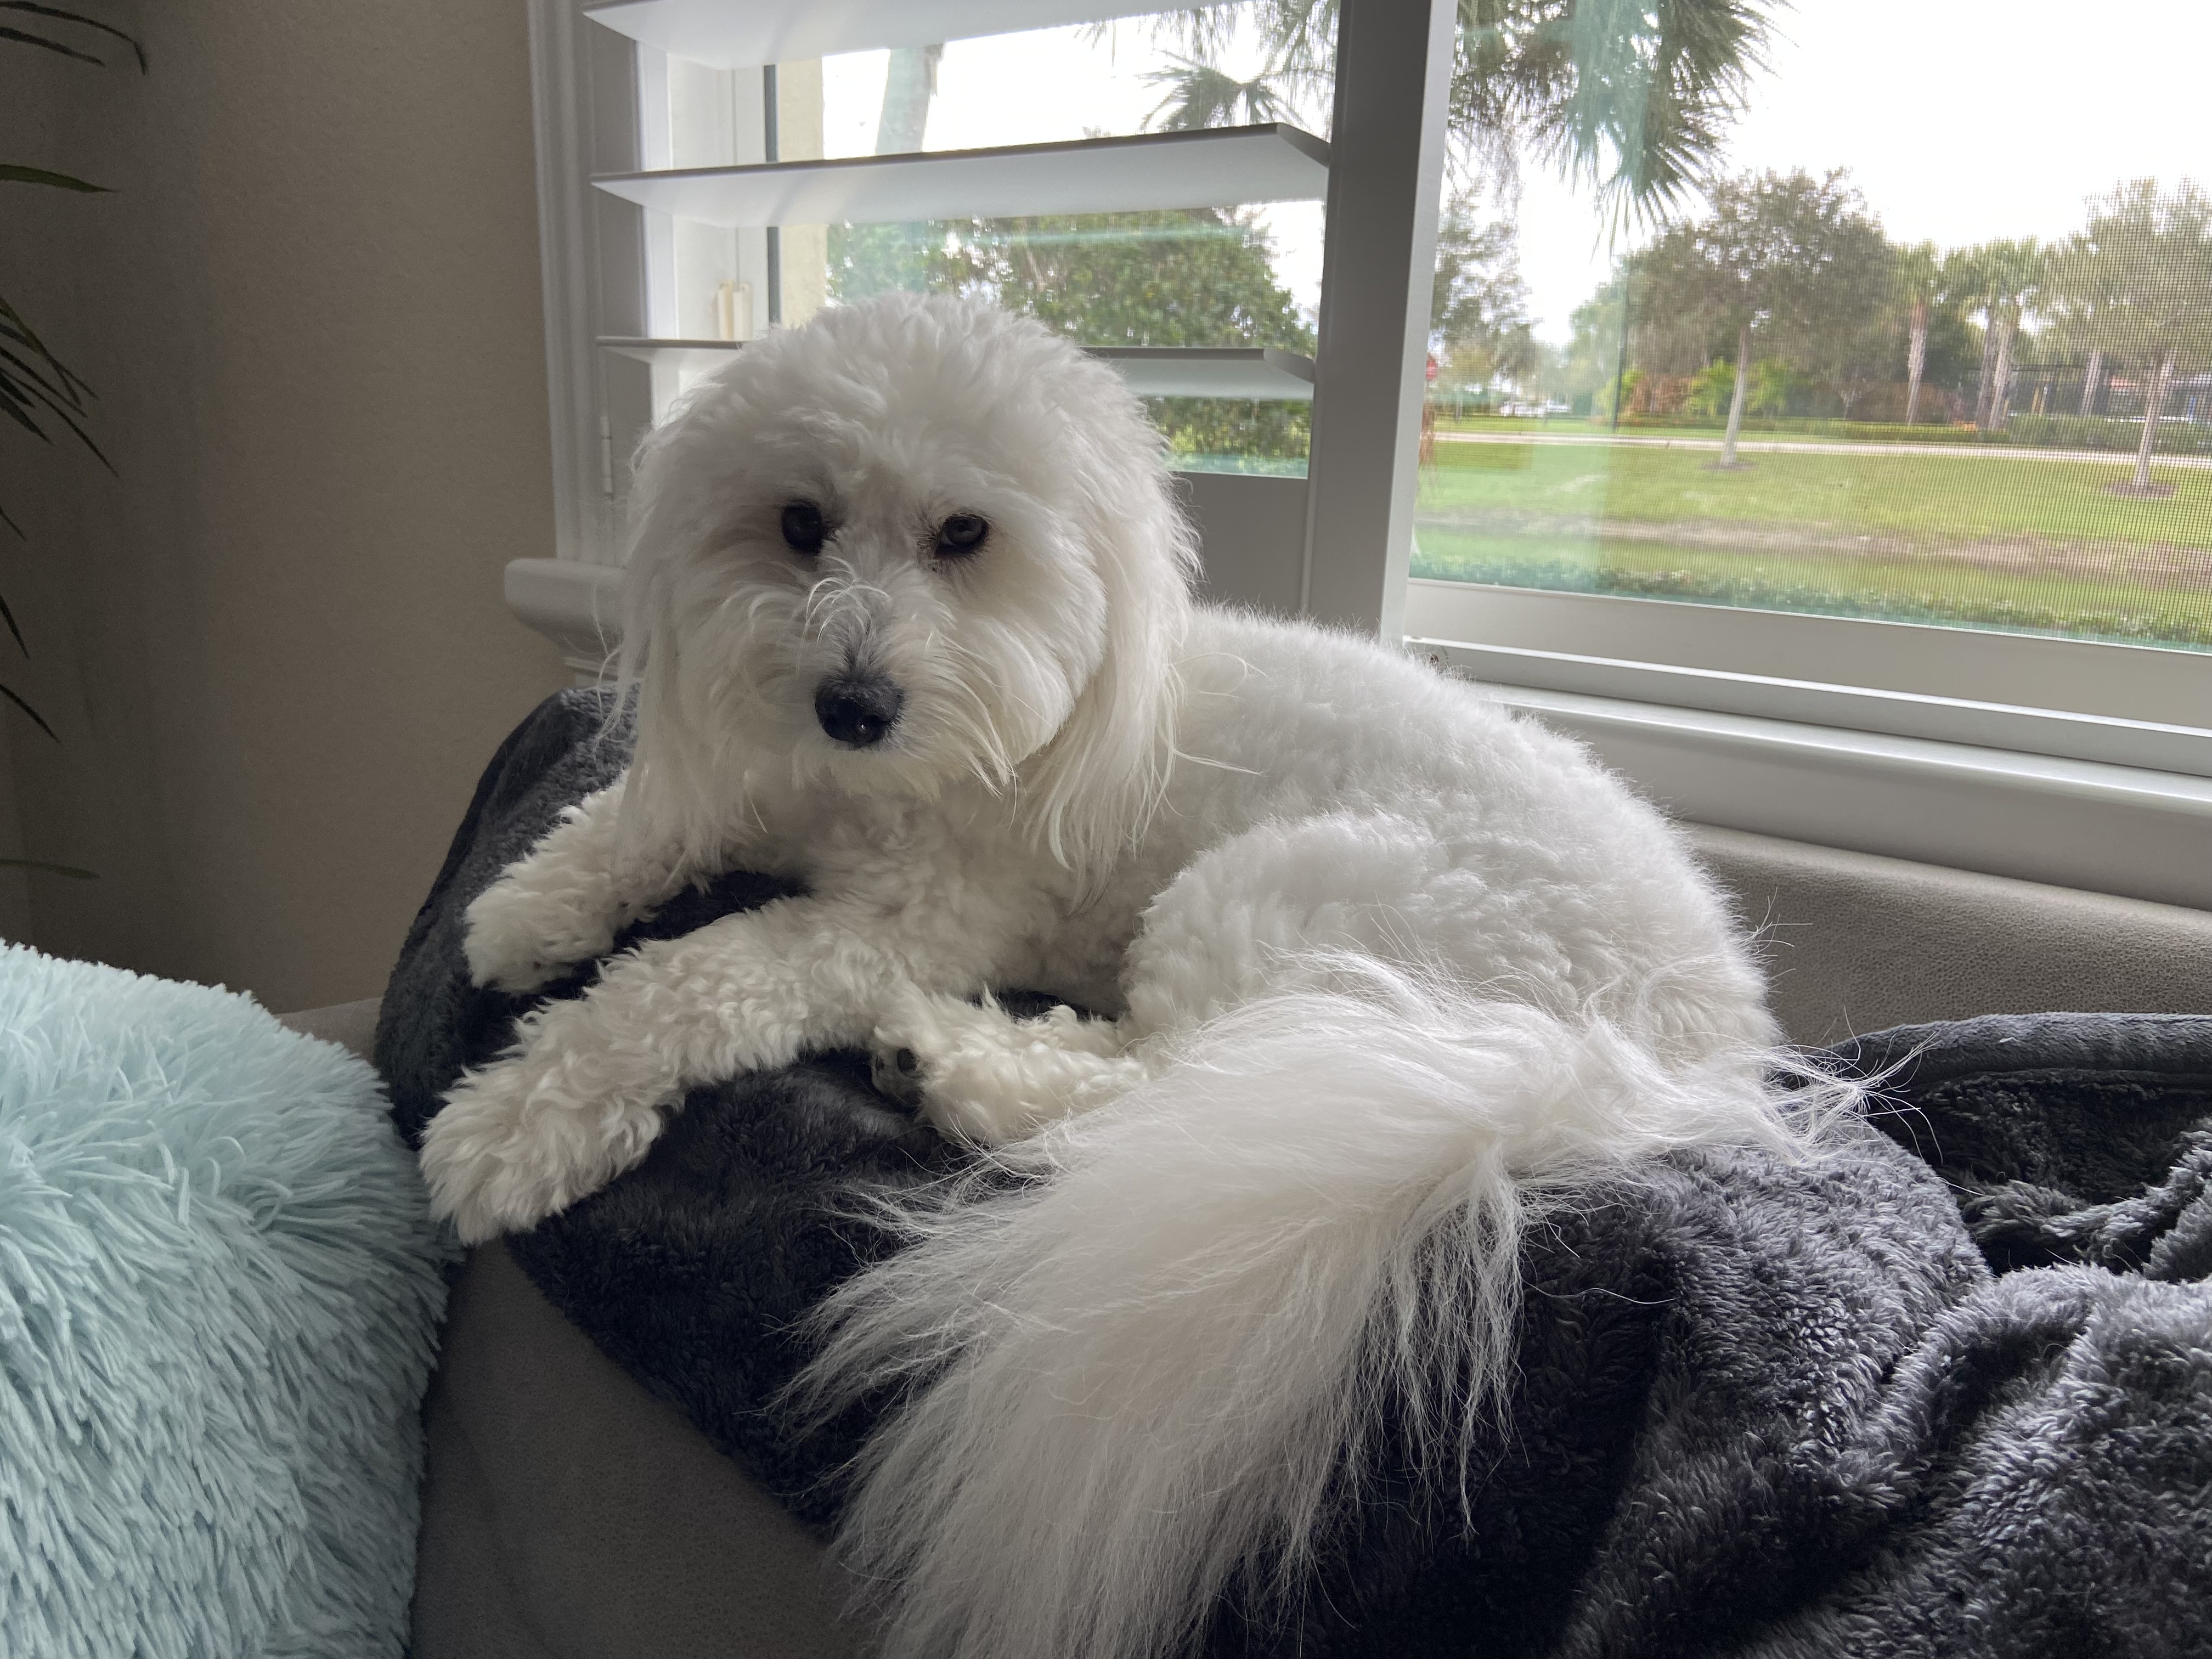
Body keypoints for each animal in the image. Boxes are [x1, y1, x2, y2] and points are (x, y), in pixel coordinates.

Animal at [422, 298, 1822, 1659]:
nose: (855, 704)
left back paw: (952, 1061)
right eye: (800, 525)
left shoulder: (892, 929)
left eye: (966, 533)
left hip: (1289, 903)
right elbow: (643, 821)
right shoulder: (775, 786)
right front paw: (528, 909)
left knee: (1171, 1088)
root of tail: (1675, 1052)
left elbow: (693, 979)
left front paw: (522, 1114)